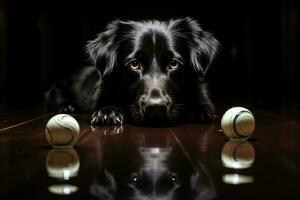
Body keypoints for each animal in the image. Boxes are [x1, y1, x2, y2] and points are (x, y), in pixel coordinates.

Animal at [45, 18, 218, 126]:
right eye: (134, 64)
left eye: (173, 64)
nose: (156, 108)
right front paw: (107, 112)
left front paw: (199, 110)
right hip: (58, 86)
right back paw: (67, 106)